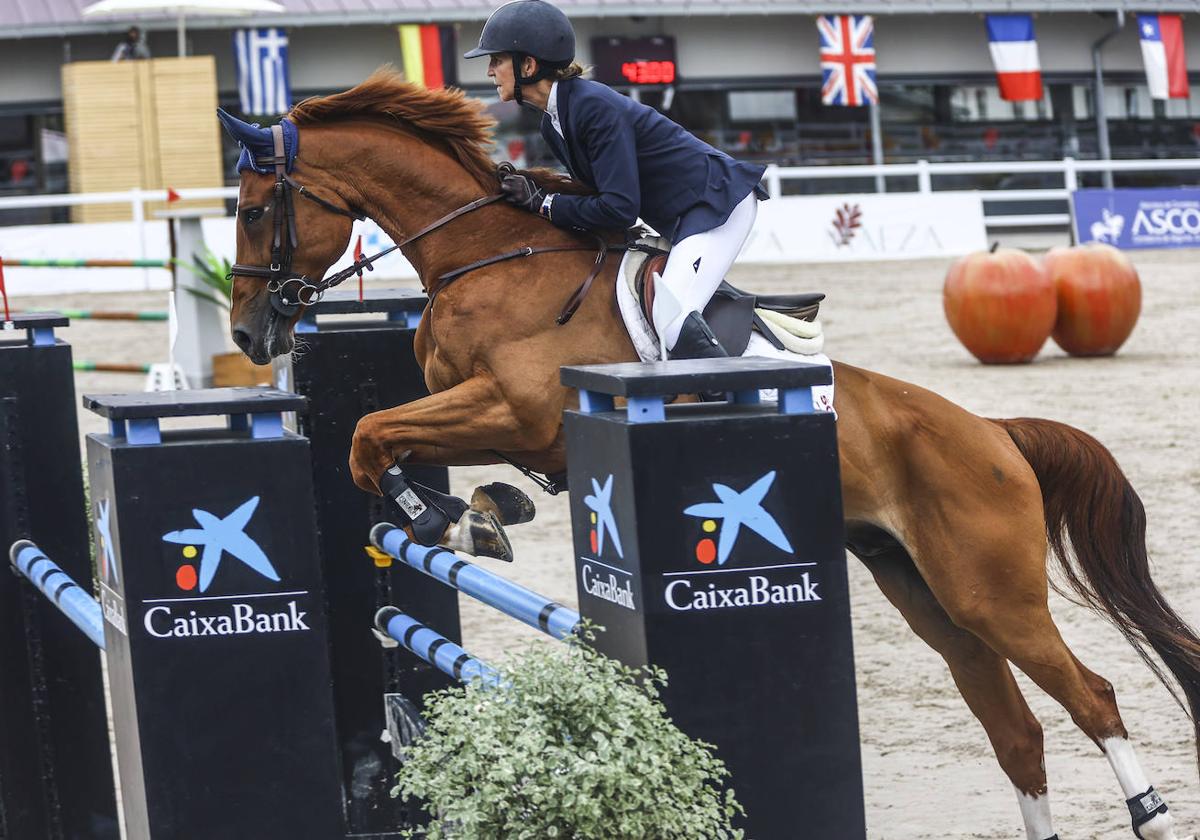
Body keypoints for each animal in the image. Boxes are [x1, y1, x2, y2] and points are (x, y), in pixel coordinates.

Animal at [223, 73, 1190, 840]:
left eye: (252, 209)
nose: (248, 334)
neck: (488, 258)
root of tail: (993, 431)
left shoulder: (522, 410)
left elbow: (368, 436)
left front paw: (452, 521)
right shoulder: (491, 419)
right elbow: (380, 436)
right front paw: (482, 512)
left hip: (991, 593)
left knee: (1093, 696)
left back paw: (1150, 817)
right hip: (929, 597)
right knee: (1016, 730)